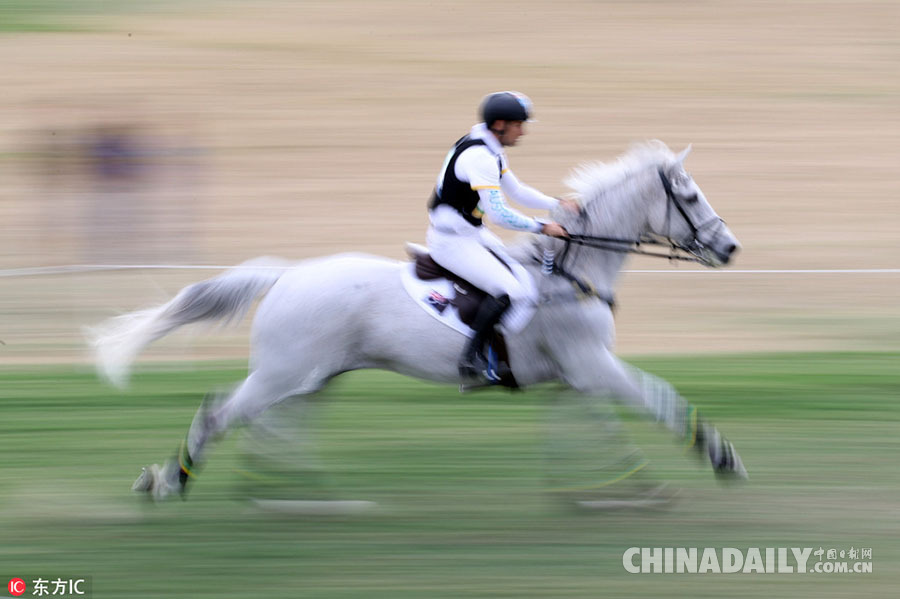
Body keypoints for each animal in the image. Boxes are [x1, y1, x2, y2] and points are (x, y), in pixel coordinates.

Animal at [91, 142, 744, 502]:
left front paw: (614, 490)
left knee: (273, 427)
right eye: (689, 196)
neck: (570, 274)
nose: (729, 247)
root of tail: (287, 276)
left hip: (309, 378)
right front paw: (720, 457)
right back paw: (171, 482)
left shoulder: (575, 379)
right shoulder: (594, 367)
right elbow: (660, 400)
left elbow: (594, 430)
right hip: (284, 373)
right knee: (222, 414)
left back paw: (290, 495)